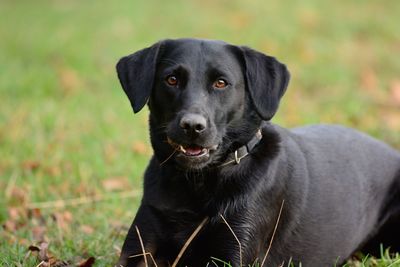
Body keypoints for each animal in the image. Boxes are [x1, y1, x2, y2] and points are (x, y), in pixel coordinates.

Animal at [115, 38, 400, 266]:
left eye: (221, 83)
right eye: (171, 79)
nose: (193, 126)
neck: (197, 182)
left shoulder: (235, 250)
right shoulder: (138, 247)